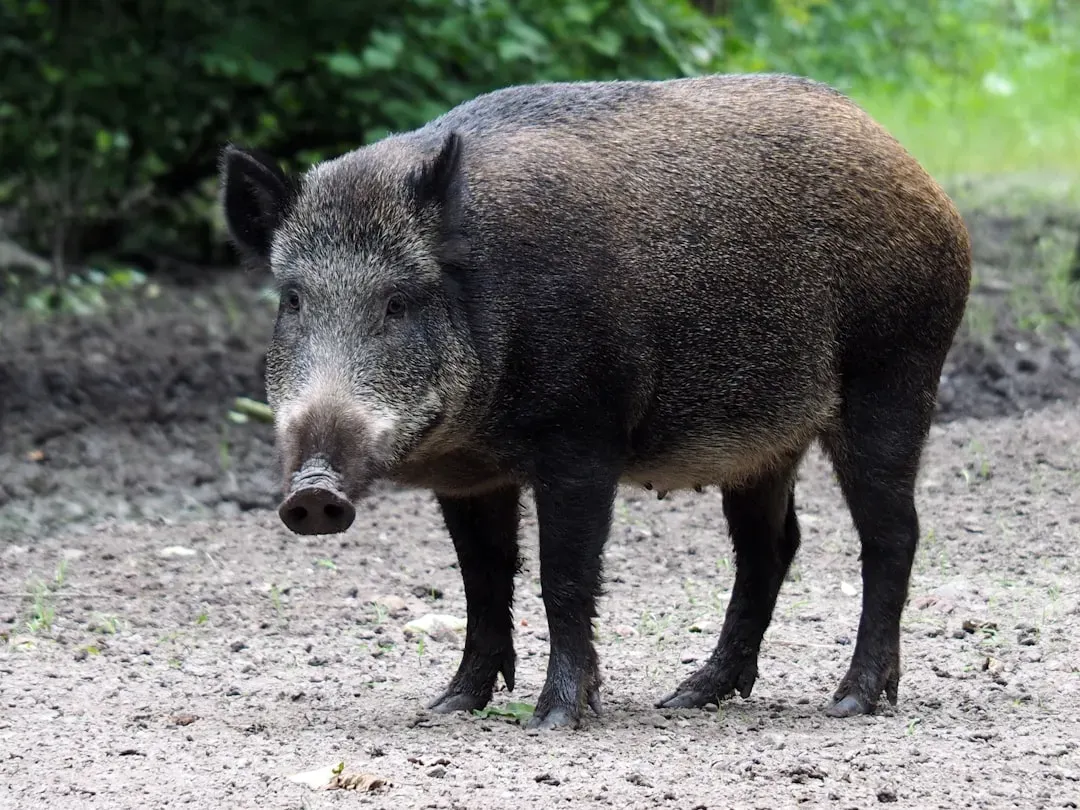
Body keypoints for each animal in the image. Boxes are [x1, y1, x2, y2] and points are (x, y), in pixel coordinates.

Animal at [219, 72, 971, 731]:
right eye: (293, 300)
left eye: (398, 302)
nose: (313, 493)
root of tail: (923, 183)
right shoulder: (468, 476)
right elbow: (482, 579)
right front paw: (449, 706)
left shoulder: (583, 437)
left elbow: (565, 575)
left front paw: (556, 719)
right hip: (765, 442)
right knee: (772, 547)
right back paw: (689, 695)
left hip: (894, 375)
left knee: (892, 534)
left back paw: (850, 702)